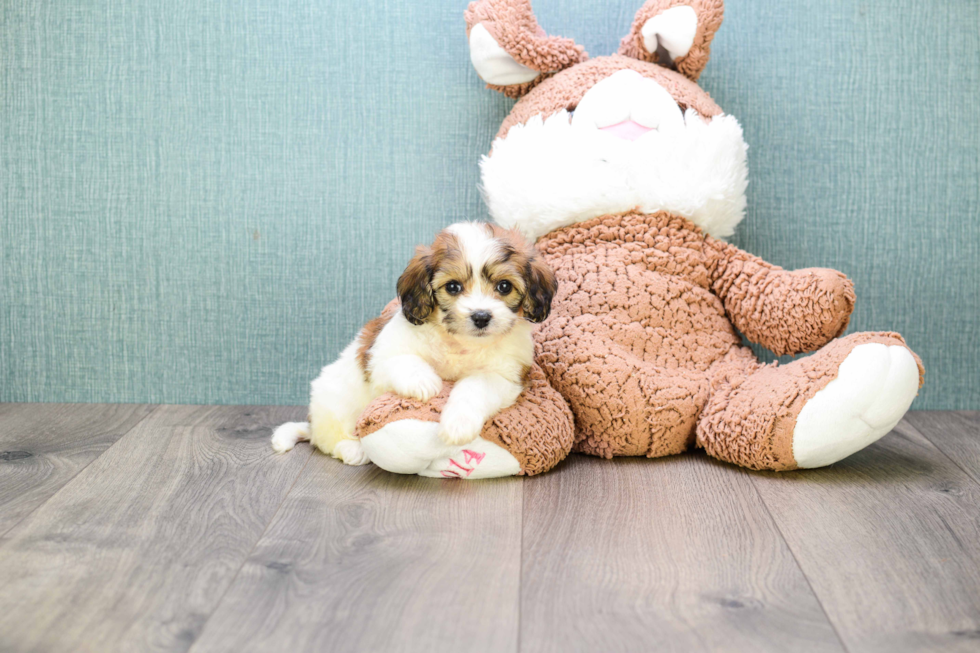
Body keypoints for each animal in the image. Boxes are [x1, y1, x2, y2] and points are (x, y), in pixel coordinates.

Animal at [272, 222, 556, 466]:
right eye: (453, 287)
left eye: (504, 286)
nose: (481, 316)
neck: (459, 344)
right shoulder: (380, 356)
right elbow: (402, 360)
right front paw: (423, 382)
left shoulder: (506, 374)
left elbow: (476, 386)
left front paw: (458, 423)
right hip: (334, 402)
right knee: (327, 439)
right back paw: (353, 448)